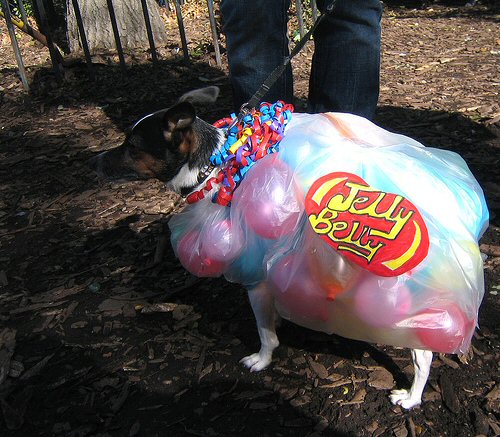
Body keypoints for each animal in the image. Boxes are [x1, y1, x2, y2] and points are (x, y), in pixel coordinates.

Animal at [90, 86, 488, 408]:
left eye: (132, 146)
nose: (95, 161)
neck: (218, 165)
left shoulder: (256, 281)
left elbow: (265, 334)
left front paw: (262, 359)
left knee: (424, 358)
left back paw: (412, 397)